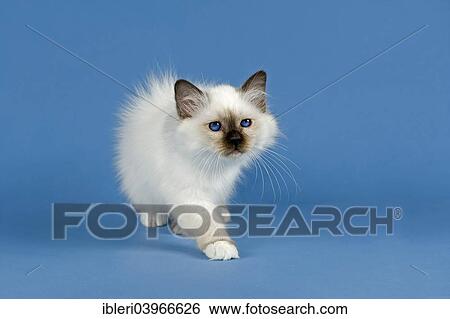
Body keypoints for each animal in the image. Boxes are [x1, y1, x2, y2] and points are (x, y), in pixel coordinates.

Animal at [116, 71, 278, 262]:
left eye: (245, 123)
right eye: (215, 126)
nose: (235, 140)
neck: (215, 166)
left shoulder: (220, 187)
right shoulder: (190, 195)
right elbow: (207, 223)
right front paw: (221, 246)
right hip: (141, 184)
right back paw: (154, 218)